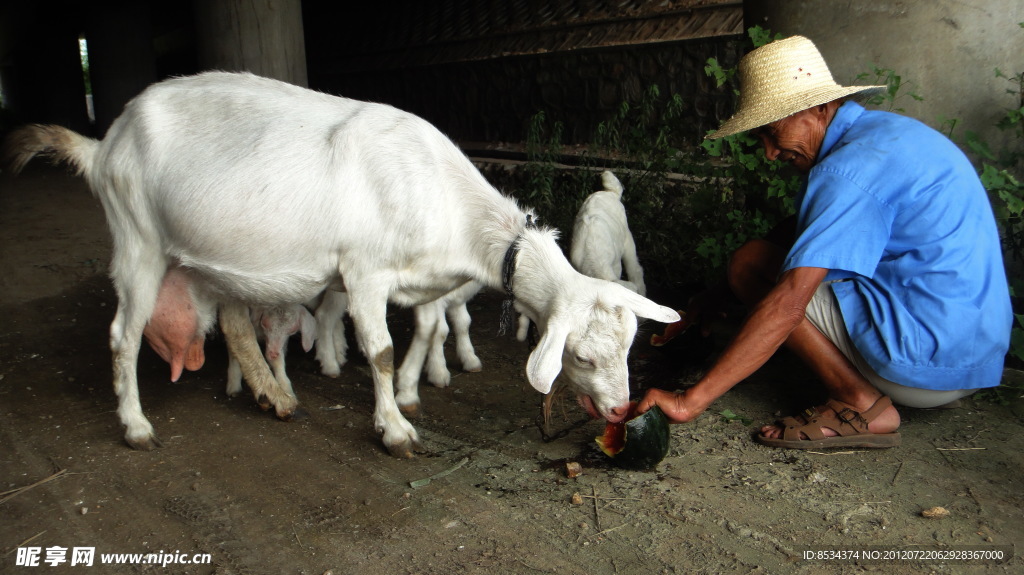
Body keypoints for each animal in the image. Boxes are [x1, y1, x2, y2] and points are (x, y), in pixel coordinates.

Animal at [8, 71, 684, 454]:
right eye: (583, 356)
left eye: (629, 346)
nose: (620, 410)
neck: (445, 199)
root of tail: (103, 145)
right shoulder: (364, 273)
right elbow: (379, 350)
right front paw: (394, 429)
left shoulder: (419, 280)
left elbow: (429, 328)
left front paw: (412, 391)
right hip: (137, 239)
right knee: (123, 335)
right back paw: (136, 425)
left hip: (210, 260)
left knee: (230, 321)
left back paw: (273, 396)